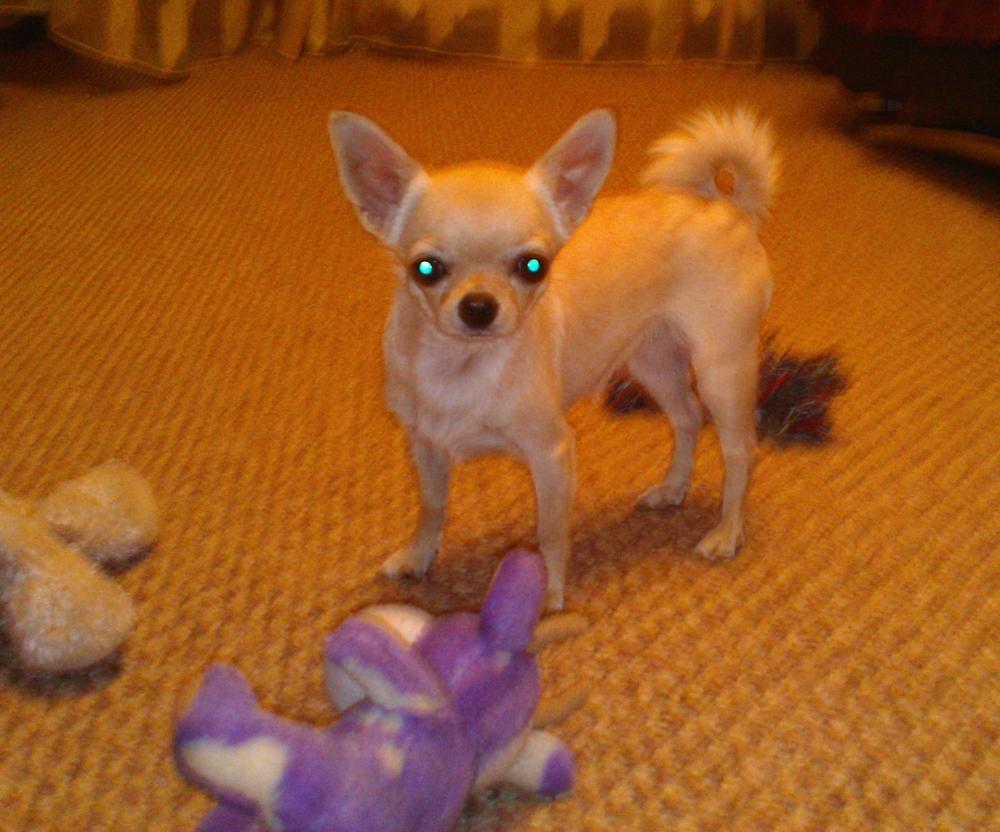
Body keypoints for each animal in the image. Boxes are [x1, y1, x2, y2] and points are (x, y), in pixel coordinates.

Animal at [328, 107, 777, 610]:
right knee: (687, 417)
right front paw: (418, 556)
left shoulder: (552, 453)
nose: (479, 306)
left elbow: (550, 533)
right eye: (426, 269)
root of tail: (727, 208)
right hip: (653, 361)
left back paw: (727, 532)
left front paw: (547, 596)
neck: (462, 365)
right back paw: (673, 488)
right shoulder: (426, 447)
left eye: (533, 266)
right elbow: (432, 507)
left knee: (740, 450)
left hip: (722, 370)